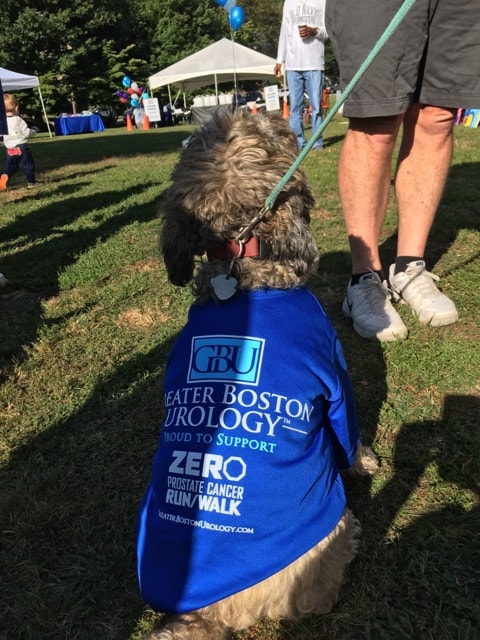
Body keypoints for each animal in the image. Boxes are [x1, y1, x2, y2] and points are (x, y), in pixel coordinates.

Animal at [136, 107, 378, 636]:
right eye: (275, 136)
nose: (261, 107)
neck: (243, 269)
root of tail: (206, 612)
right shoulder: (335, 377)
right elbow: (349, 436)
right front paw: (367, 460)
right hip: (332, 531)